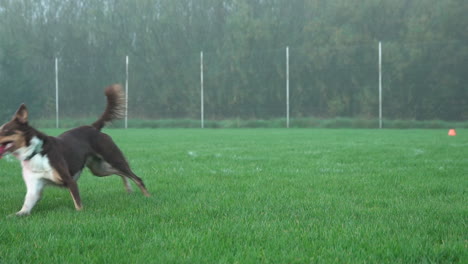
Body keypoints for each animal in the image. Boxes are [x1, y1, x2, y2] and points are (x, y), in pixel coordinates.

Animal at [0, 83, 149, 216]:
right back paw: (129, 189)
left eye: (6, 131)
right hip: (99, 169)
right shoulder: (34, 190)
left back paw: (148, 197)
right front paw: (13, 216)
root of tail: (93, 127)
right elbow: (24, 209)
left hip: (113, 158)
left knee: (136, 177)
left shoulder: (70, 181)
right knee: (121, 174)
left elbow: (78, 205)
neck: (35, 152)